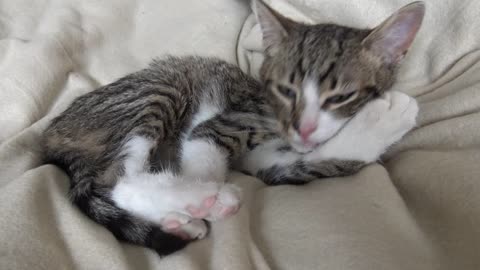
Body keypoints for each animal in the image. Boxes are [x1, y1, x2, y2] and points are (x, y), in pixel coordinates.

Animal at [42, 0, 424, 256]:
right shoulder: (224, 123)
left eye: (341, 97)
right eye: (286, 90)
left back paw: (179, 219)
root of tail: (51, 134)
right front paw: (208, 196)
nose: (303, 128)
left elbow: (310, 161)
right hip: (158, 90)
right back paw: (197, 201)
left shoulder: (270, 161)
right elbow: (202, 156)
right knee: (119, 180)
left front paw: (376, 127)